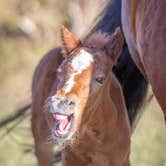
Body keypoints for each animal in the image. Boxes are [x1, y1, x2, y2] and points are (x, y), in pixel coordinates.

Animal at [31, 26, 131, 165]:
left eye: (100, 79)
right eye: (59, 73)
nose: (60, 103)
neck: (97, 136)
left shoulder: (122, 160)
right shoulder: (70, 159)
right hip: (41, 140)